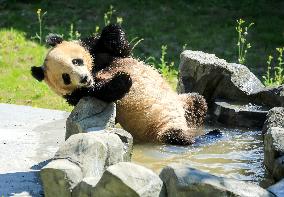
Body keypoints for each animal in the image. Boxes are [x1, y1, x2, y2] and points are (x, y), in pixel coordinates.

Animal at [31, 24, 207, 145]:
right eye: (66, 77)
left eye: (76, 61)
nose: (83, 78)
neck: (95, 70)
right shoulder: (78, 94)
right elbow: (103, 92)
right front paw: (123, 79)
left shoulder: (99, 52)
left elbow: (121, 49)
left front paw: (111, 35)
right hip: (157, 129)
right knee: (172, 135)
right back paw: (187, 138)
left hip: (182, 103)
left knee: (198, 101)